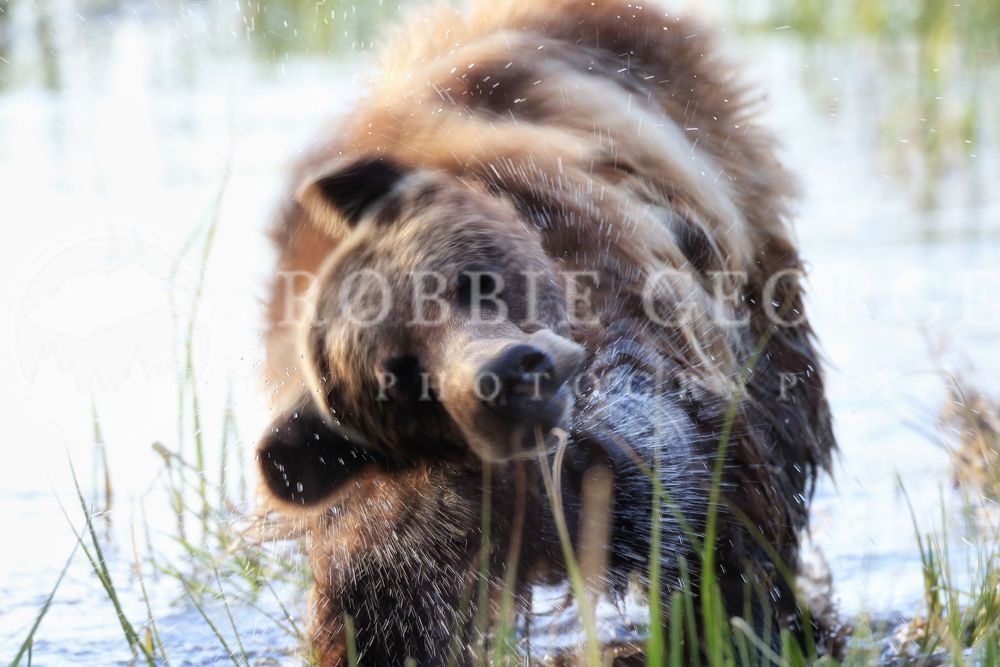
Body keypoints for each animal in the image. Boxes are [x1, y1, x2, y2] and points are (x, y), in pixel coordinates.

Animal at [255, 0, 836, 664]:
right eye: (399, 376)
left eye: (473, 283)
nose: (509, 374)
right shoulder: (410, 540)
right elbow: (377, 621)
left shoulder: (653, 403)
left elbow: (717, 535)